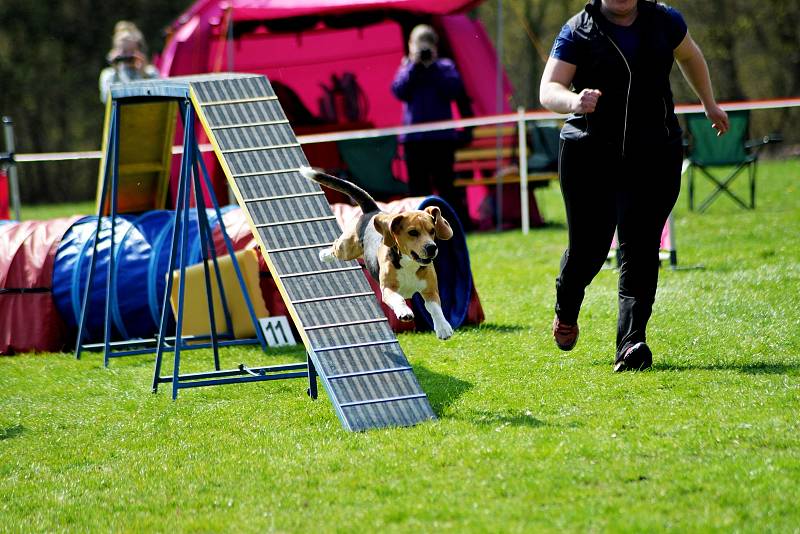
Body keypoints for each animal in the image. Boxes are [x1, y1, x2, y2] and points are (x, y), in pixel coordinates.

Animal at [298, 169, 454, 340]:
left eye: (432, 231)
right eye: (413, 232)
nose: (432, 248)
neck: (409, 263)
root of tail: (373, 211)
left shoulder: (430, 290)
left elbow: (435, 308)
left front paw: (443, 328)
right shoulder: (387, 289)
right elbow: (399, 299)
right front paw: (404, 311)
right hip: (346, 248)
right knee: (336, 245)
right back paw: (324, 254)